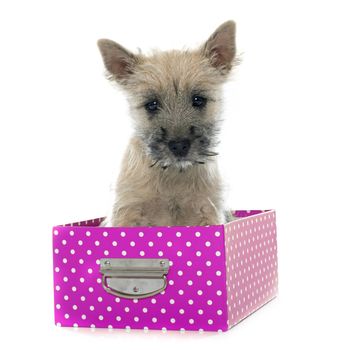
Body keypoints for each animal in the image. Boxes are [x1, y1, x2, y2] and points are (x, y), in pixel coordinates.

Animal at [97, 20, 237, 227]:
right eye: (151, 104)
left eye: (198, 100)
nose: (179, 146)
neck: (174, 174)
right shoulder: (128, 211)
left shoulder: (207, 209)